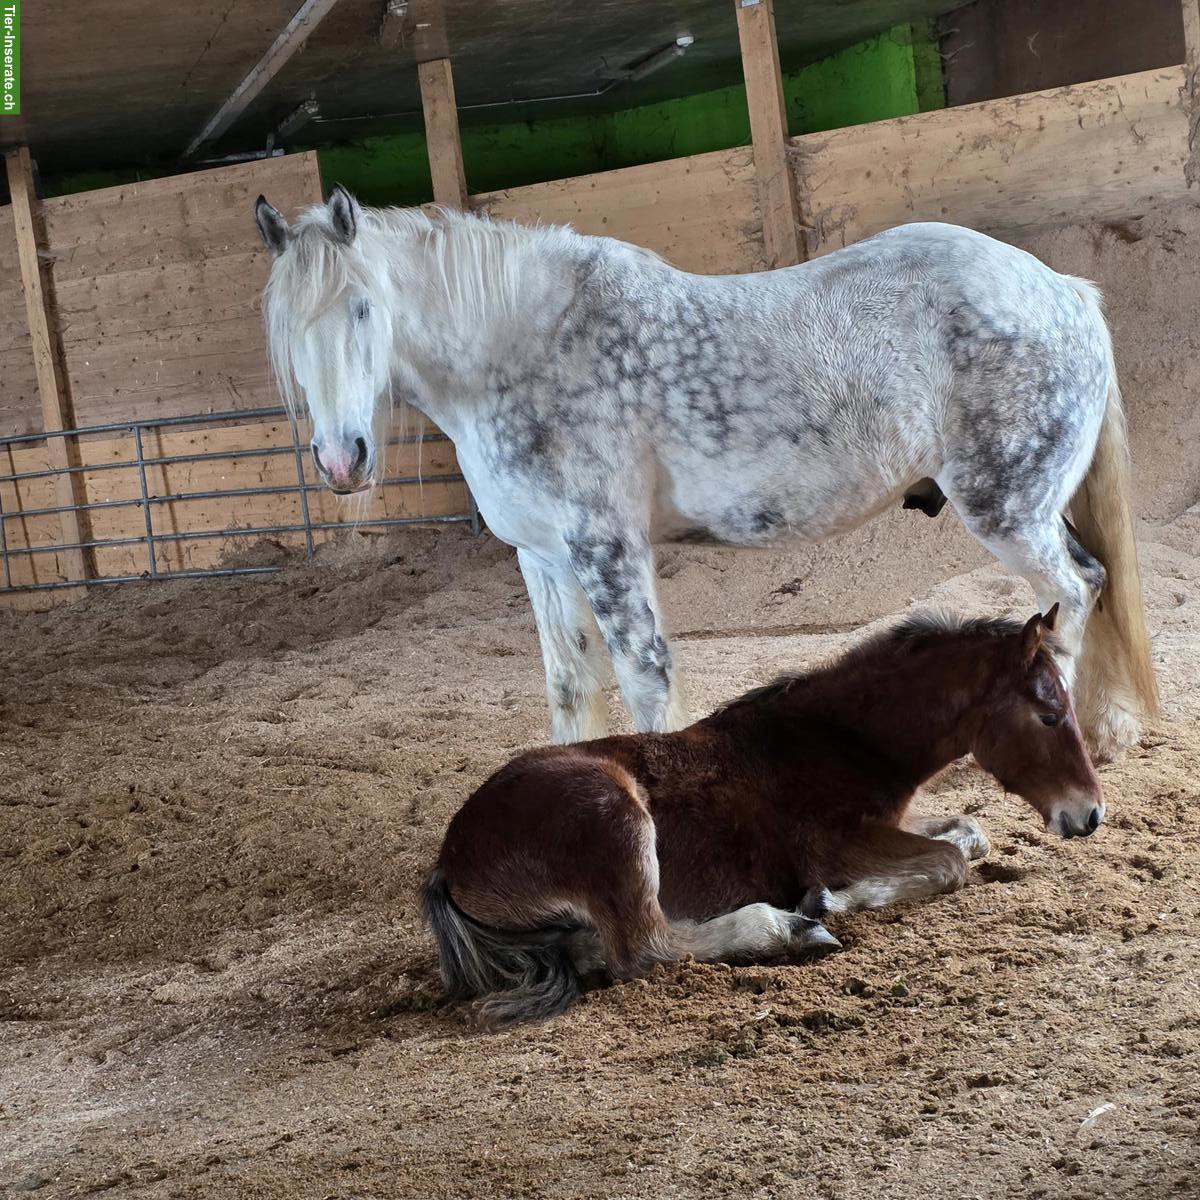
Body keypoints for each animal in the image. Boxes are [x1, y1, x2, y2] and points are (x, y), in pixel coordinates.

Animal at [253, 187, 1156, 759]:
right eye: (287, 328)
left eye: (363, 308)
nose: (340, 458)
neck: (525, 346)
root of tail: (1063, 290)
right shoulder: (543, 557)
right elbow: (569, 685)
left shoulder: (608, 549)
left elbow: (644, 678)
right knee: (1090, 581)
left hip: (1007, 509)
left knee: (1071, 594)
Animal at [422, 607, 1102, 1025]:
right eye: (1049, 715)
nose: (1090, 814)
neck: (837, 739)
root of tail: (450, 861)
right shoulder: (833, 842)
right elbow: (950, 861)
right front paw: (829, 901)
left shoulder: (892, 821)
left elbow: (970, 832)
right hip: (614, 819)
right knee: (645, 949)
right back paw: (789, 928)